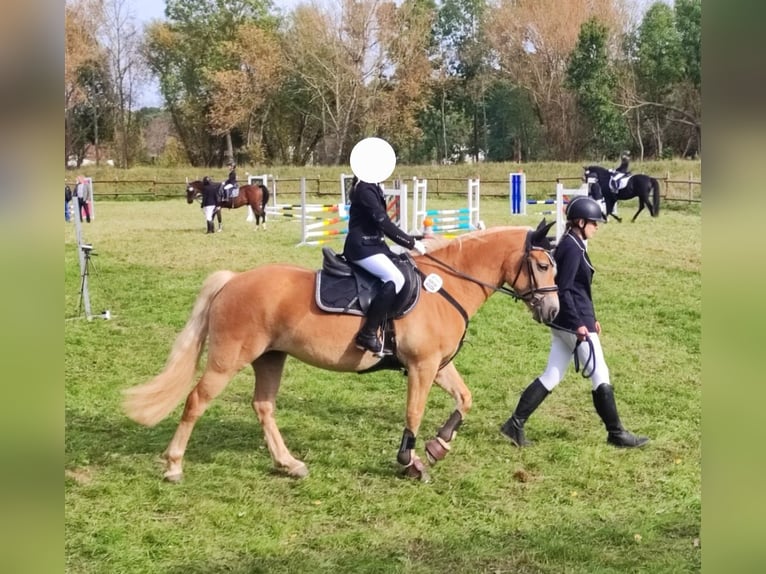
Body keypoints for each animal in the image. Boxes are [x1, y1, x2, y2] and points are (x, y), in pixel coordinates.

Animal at [123, 223, 560, 484]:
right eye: (542, 265)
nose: (554, 312)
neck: (445, 286)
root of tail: (233, 281)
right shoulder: (422, 367)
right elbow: (413, 413)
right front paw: (410, 461)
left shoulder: (436, 366)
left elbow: (464, 399)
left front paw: (439, 445)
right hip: (227, 360)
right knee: (196, 400)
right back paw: (174, 465)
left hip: (271, 358)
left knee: (263, 406)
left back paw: (289, 464)